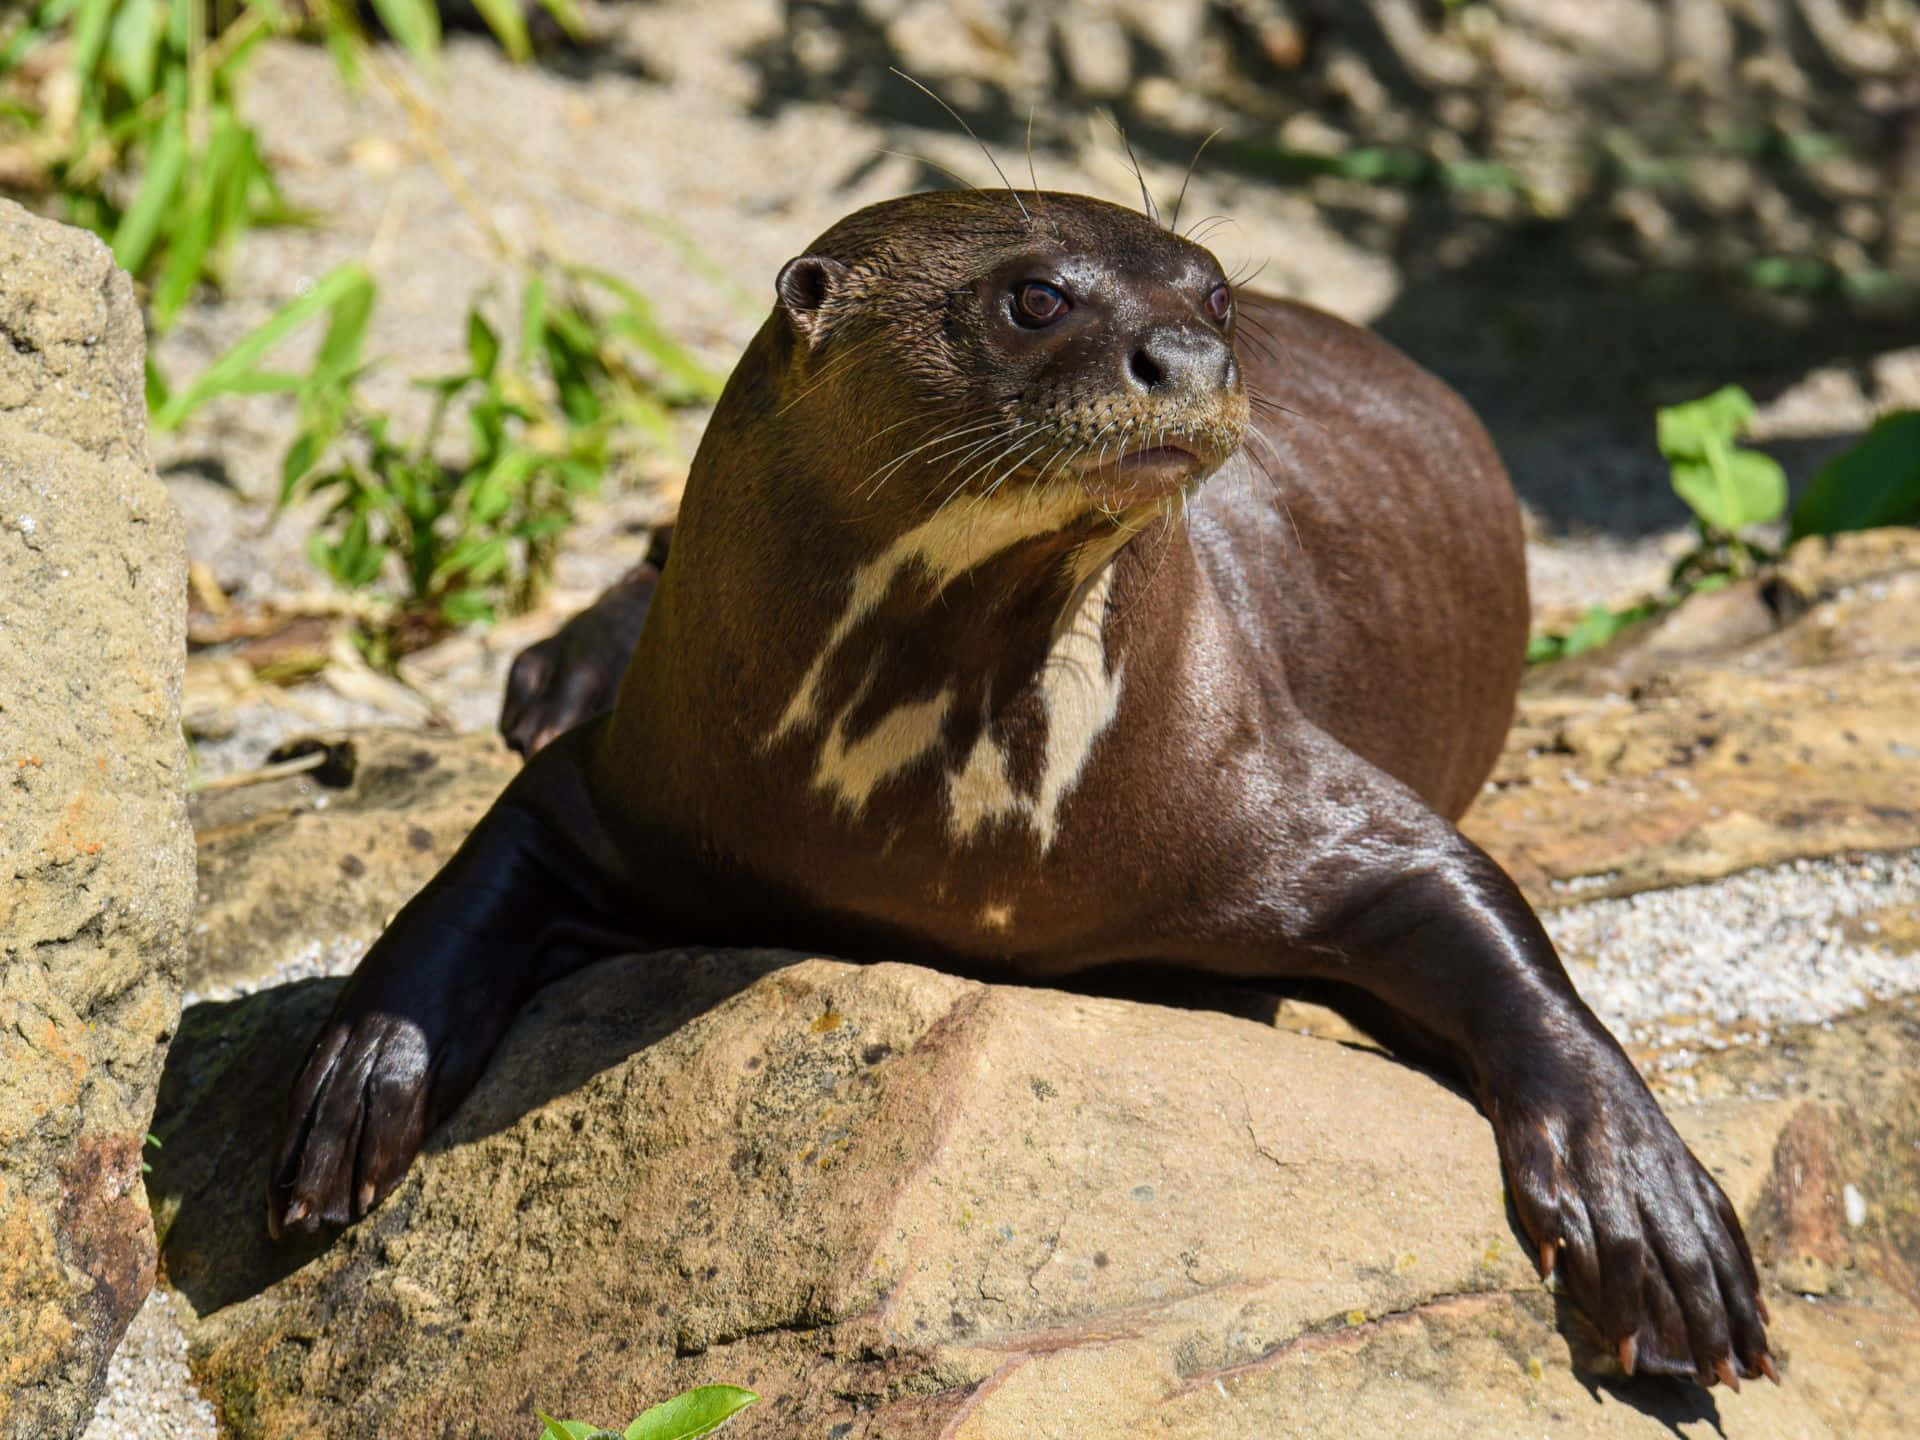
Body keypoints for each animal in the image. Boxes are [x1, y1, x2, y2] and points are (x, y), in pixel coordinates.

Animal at [271, 189, 1773, 1388]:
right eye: (1034, 295)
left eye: (1212, 291)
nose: (1194, 352)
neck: (952, 842)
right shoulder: (631, 786)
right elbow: (474, 874)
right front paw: (360, 1082)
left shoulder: (1291, 787)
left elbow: (1491, 924)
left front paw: (1647, 1206)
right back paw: (563, 665)